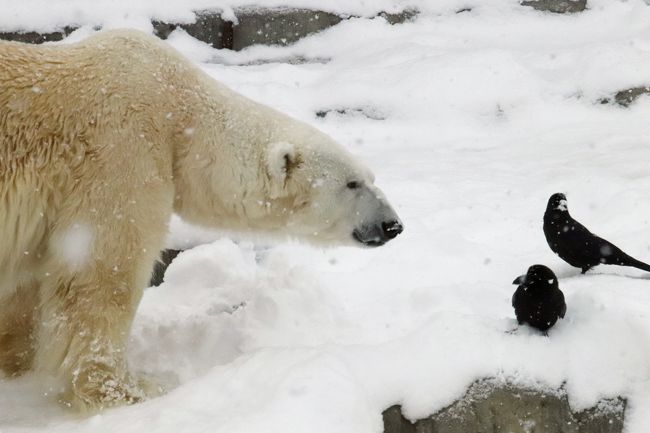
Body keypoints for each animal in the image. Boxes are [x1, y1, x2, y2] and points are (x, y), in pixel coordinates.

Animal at [0, 29, 400, 408]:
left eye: (371, 177)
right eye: (352, 183)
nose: (393, 225)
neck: (178, 111)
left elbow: (26, 284)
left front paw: (17, 364)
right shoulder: (123, 150)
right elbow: (101, 275)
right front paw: (129, 390)